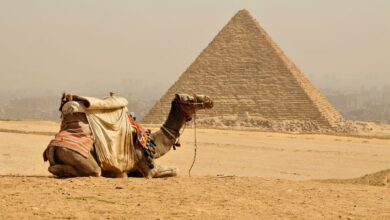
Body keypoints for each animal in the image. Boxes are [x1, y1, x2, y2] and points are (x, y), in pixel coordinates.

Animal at [43, 93, 213, 178]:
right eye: (189, 99)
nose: (209, 100)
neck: (153, 143)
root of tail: (52, 147)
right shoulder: (148, 170)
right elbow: (175, 170)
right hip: (78, 156)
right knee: (93, 171)